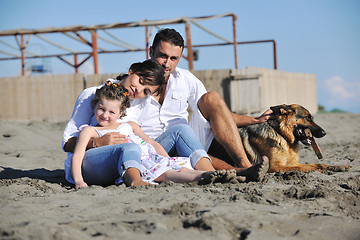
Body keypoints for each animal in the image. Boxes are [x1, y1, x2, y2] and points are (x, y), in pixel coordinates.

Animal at [210, 104, 350, 173]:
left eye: (312, 118)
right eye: (308, 118)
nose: (324, 133)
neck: (281, 135)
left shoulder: (292, 163)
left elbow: (318, 164)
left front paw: (338, 166)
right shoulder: (275, 167)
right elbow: (309, 168)